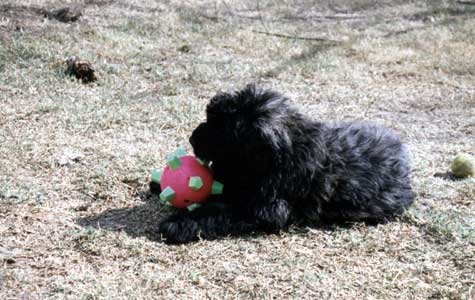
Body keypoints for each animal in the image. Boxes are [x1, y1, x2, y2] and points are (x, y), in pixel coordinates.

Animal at [154, 84, 414, 244]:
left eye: (221, 128)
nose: (192, 139)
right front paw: (158, 185)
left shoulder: (265, 208)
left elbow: (220, 211)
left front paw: (178, 225)